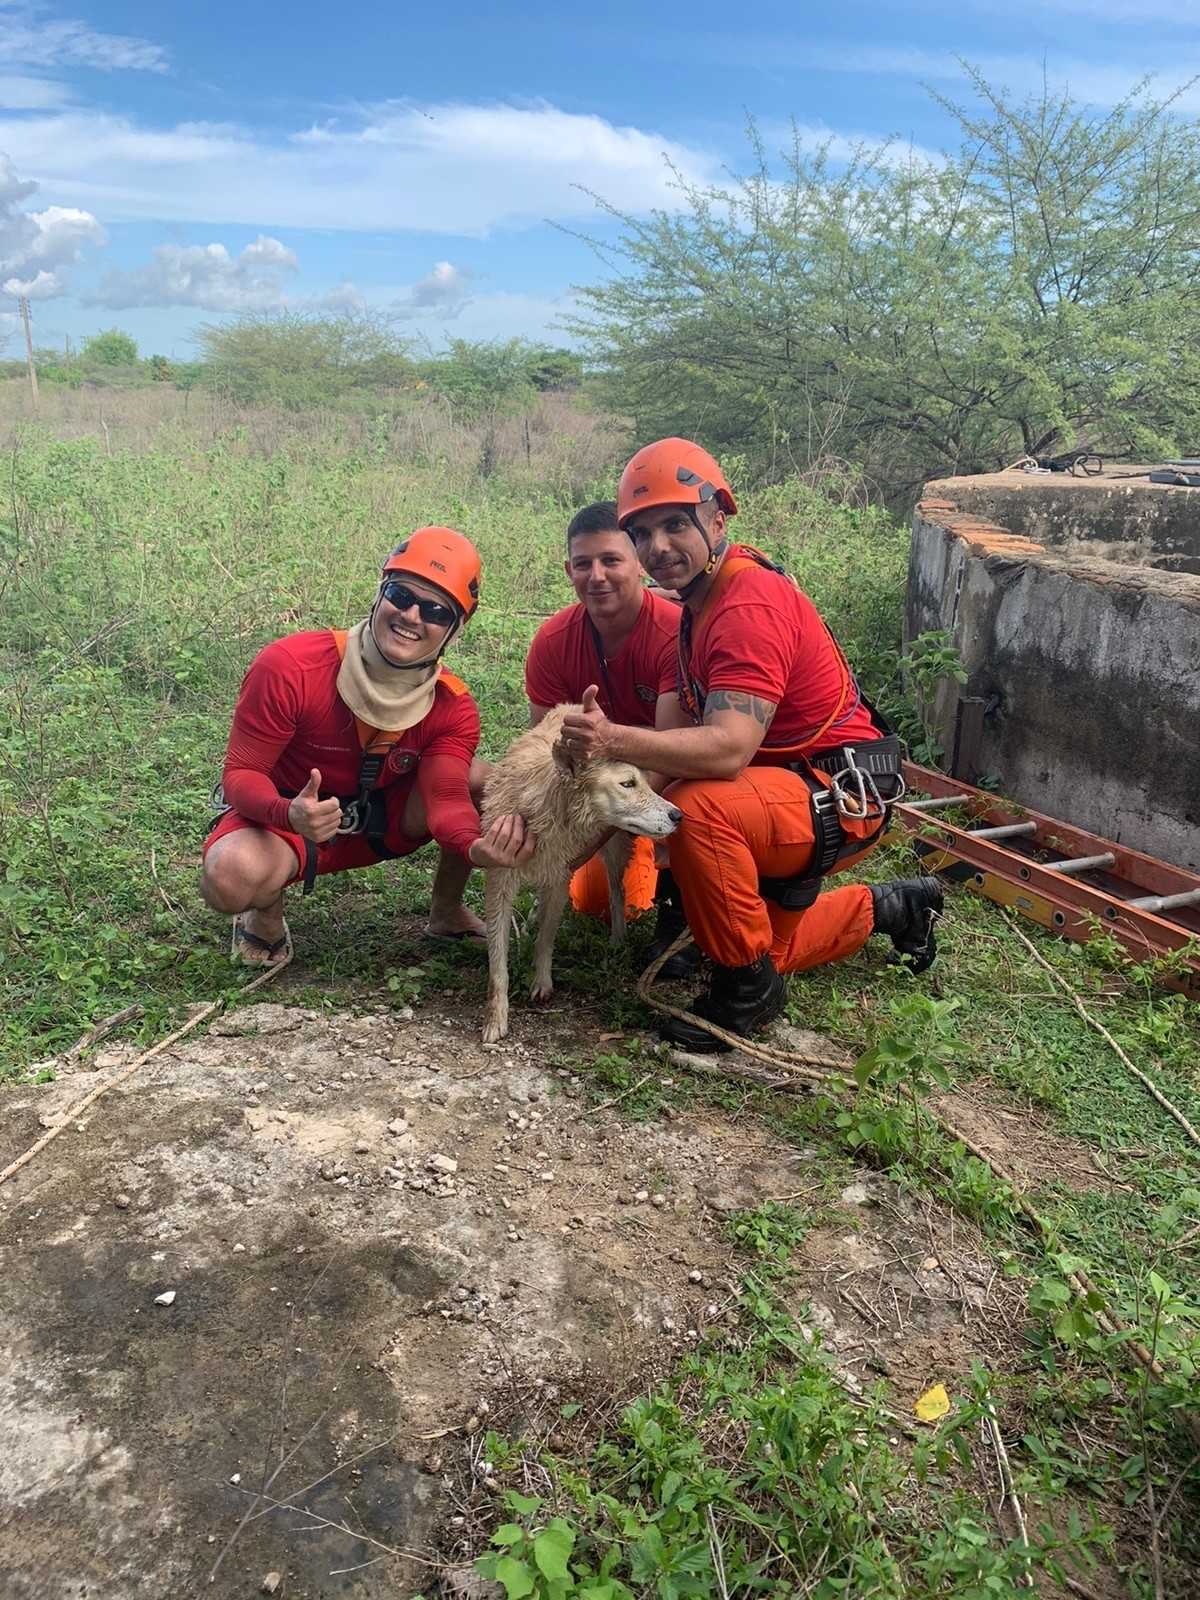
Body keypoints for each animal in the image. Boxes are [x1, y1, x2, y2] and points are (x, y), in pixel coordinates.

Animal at [480, 704, 681, 1043]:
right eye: (628, 784)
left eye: (644, 781)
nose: (678, 815)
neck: (549, 812)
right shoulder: (499, 879)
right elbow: (498, 966)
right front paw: (496, 1020)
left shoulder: (560, 879)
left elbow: (546, 939)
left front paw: (542, 982)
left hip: (613, 850)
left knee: (616, 893)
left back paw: (617, 940)